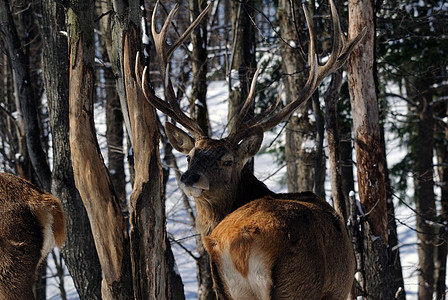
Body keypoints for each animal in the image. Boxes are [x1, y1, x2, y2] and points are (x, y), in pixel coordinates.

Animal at [135, 1, 366, 298]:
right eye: (189, 157)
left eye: (227, 160)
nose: (189, 177)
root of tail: (243, 241)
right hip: (297, 284)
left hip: (228, 287)